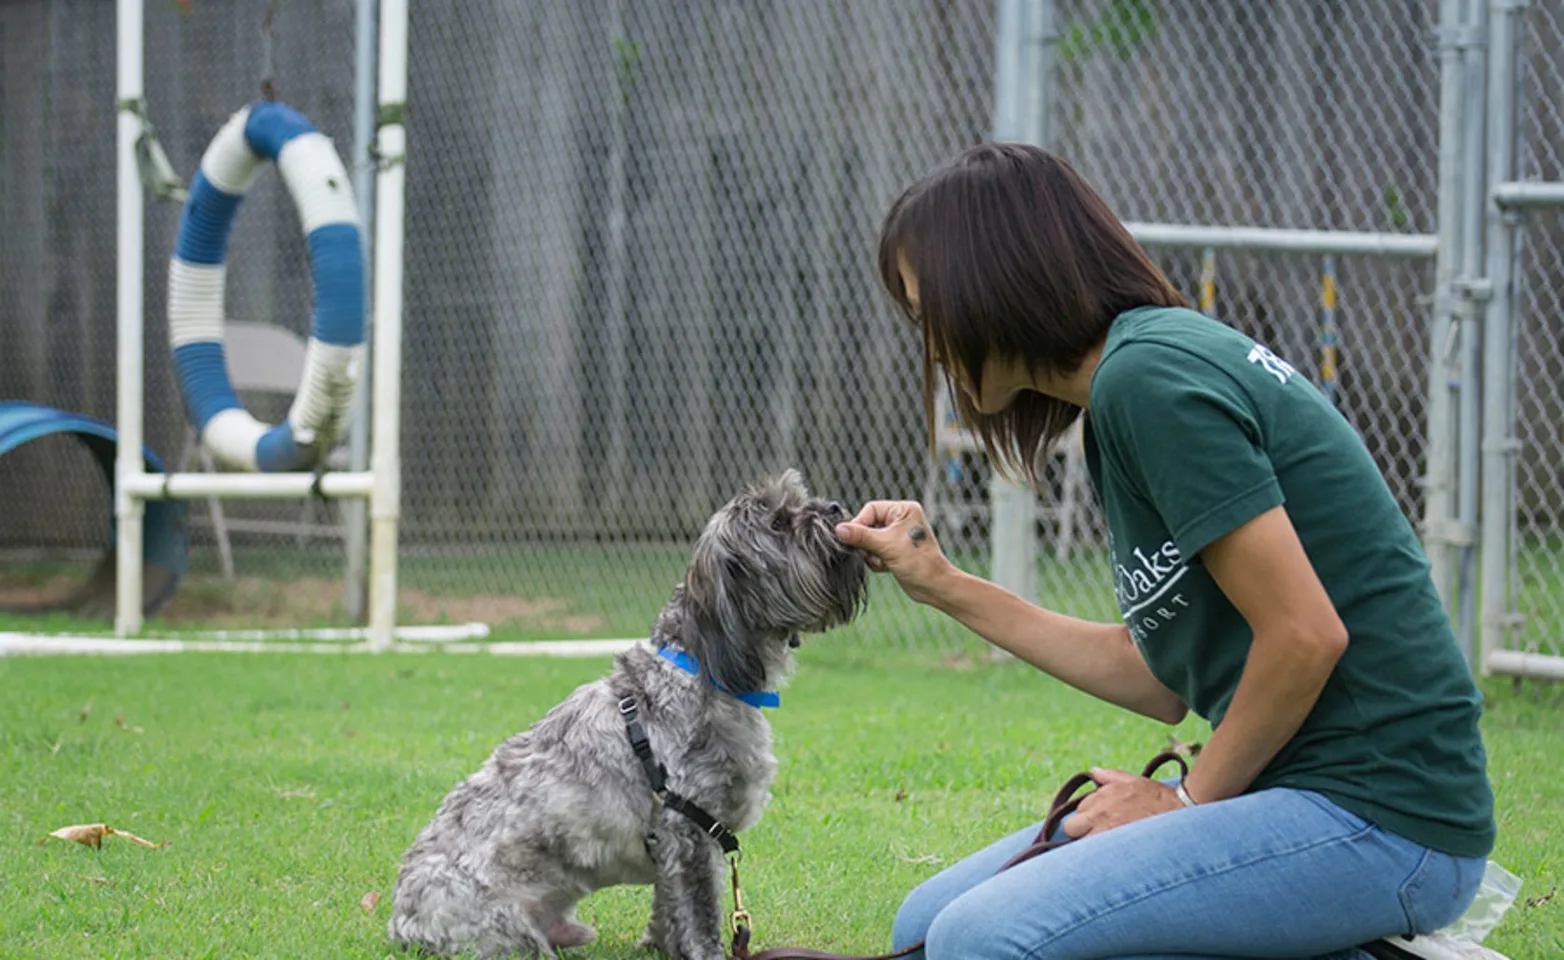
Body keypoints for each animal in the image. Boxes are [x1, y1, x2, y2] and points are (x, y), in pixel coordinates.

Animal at [381, 469, 869, 956]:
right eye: (779, 523)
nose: (836, 508)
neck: (700, 670)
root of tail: (402, 923)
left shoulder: (674, 848)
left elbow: (668, 910)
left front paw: (659, 946)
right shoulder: (689, 832)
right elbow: (701, 914)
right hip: (512, 935)